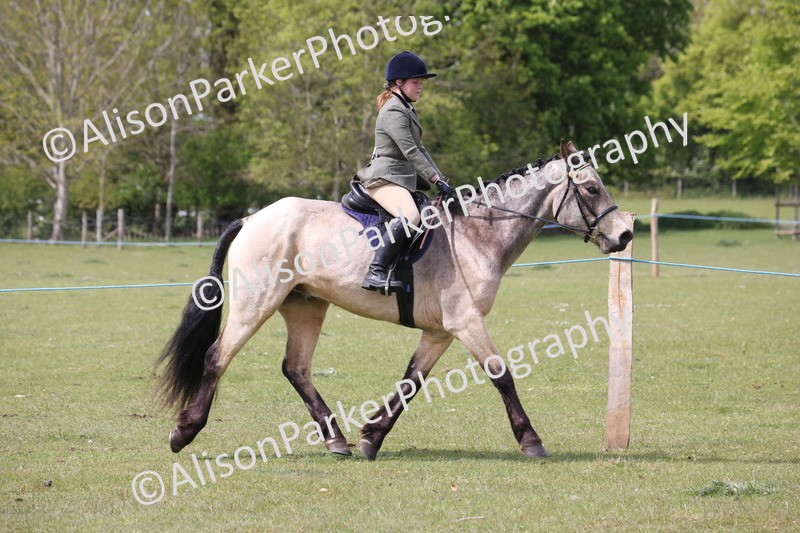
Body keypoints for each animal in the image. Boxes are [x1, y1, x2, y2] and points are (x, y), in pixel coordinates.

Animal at [156, 140, 633, 460]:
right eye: (591, 189)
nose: (625, 235)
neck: (478, 234)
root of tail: (252, 218)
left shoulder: (441, 331)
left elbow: (410, 382)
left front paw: (371, 437)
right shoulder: (465, 322)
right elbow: (501, 375)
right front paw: (531, 441)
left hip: (306, 306)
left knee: (296, 368)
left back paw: (338, 440)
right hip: (258, 303)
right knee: (218, 356)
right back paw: (183, 432)